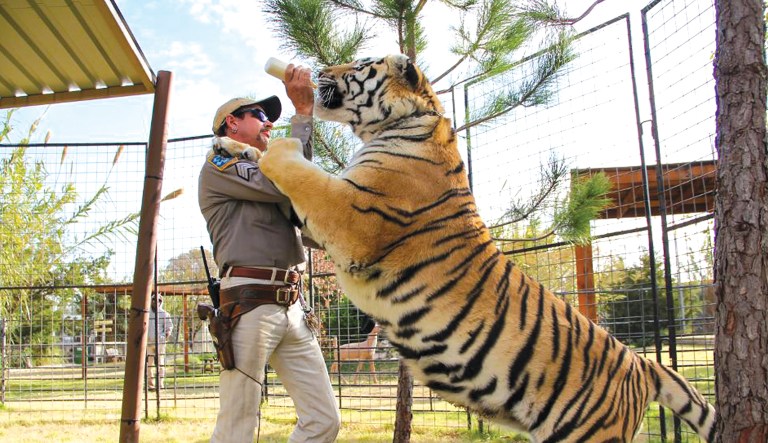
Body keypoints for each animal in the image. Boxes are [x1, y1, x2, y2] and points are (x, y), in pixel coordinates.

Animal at [217, 54, 716, 442]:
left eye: (358, 65)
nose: (317, 71)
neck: (400, 123)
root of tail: (641, 364)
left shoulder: (351, 216)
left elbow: (297, 169)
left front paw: (269, 145)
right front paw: (227, 143)